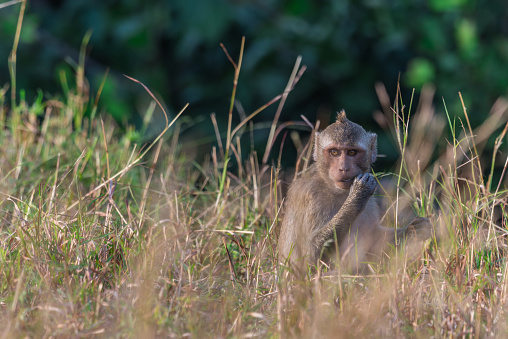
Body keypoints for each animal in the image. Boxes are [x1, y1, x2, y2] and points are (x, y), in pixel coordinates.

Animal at [278, 111, 432, 276]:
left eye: (352, 152)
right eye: (334, 152)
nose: (343, 168)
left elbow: (375, 241)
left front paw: (413, 231)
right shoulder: (311, 197)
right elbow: (309, 254)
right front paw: (357, 195)